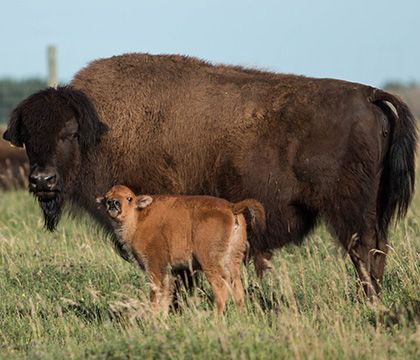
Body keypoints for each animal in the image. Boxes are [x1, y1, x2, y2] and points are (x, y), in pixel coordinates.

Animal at [3, 52, 416, 296]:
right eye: (28, 137)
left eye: (70, 133)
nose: (42, 181)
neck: (104, 128)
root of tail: (368, 94)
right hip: (371, 209)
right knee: (377, 251)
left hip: (348, 211)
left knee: (363, 253)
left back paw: (367, 301)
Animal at [97, 186, 264, 316]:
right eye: (106, 197)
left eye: (129, 198)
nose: (113, 203)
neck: (138, 217)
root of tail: (232, 207)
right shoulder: (168, 271)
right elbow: (165, 294)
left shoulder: (155, 265)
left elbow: (155, 294)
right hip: (233, 259)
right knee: (238, 288)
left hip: (210, 261)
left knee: (221, 286)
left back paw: (214, 318)